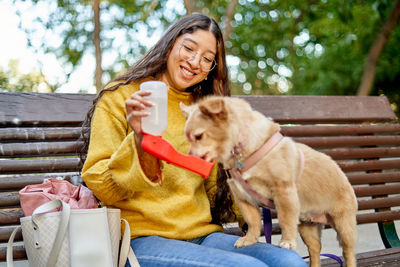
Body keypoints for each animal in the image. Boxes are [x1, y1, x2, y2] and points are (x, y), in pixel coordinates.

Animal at [180, 97, 358, 267]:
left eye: (198, 136)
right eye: (188, 138)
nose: (189, 156)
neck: (242, 151)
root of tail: (345, 178)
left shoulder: (284, 192)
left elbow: (285, 219)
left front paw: (287, 241)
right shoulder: (243, 197)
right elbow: (252, 221)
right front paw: (249, 240)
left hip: (344, 227)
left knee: (348, 253)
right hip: (308, 228)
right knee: (315, 250)